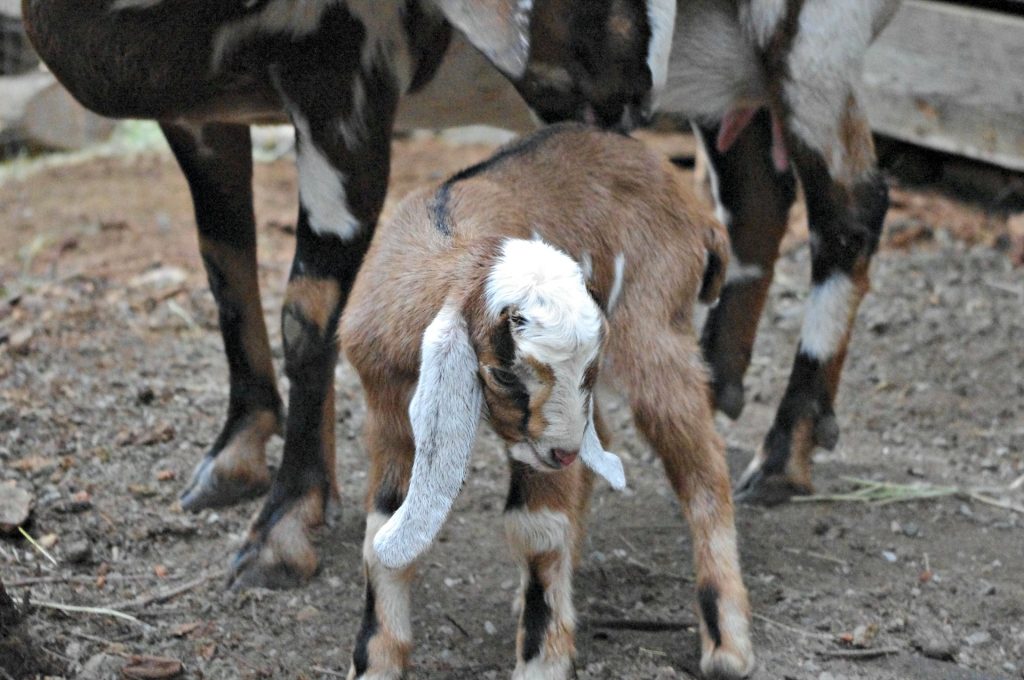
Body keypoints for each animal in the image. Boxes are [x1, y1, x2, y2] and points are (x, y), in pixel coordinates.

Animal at [342, 124, 753, 675]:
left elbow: (537, 529)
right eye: (501, 373)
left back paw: (727, 645)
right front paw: (374, 664)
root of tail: (694, 210)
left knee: (702, 466)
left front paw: (541, 661)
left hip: (656, 335)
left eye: (588, 368)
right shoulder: (388, 408)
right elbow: (381, 531)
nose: (564, 452)